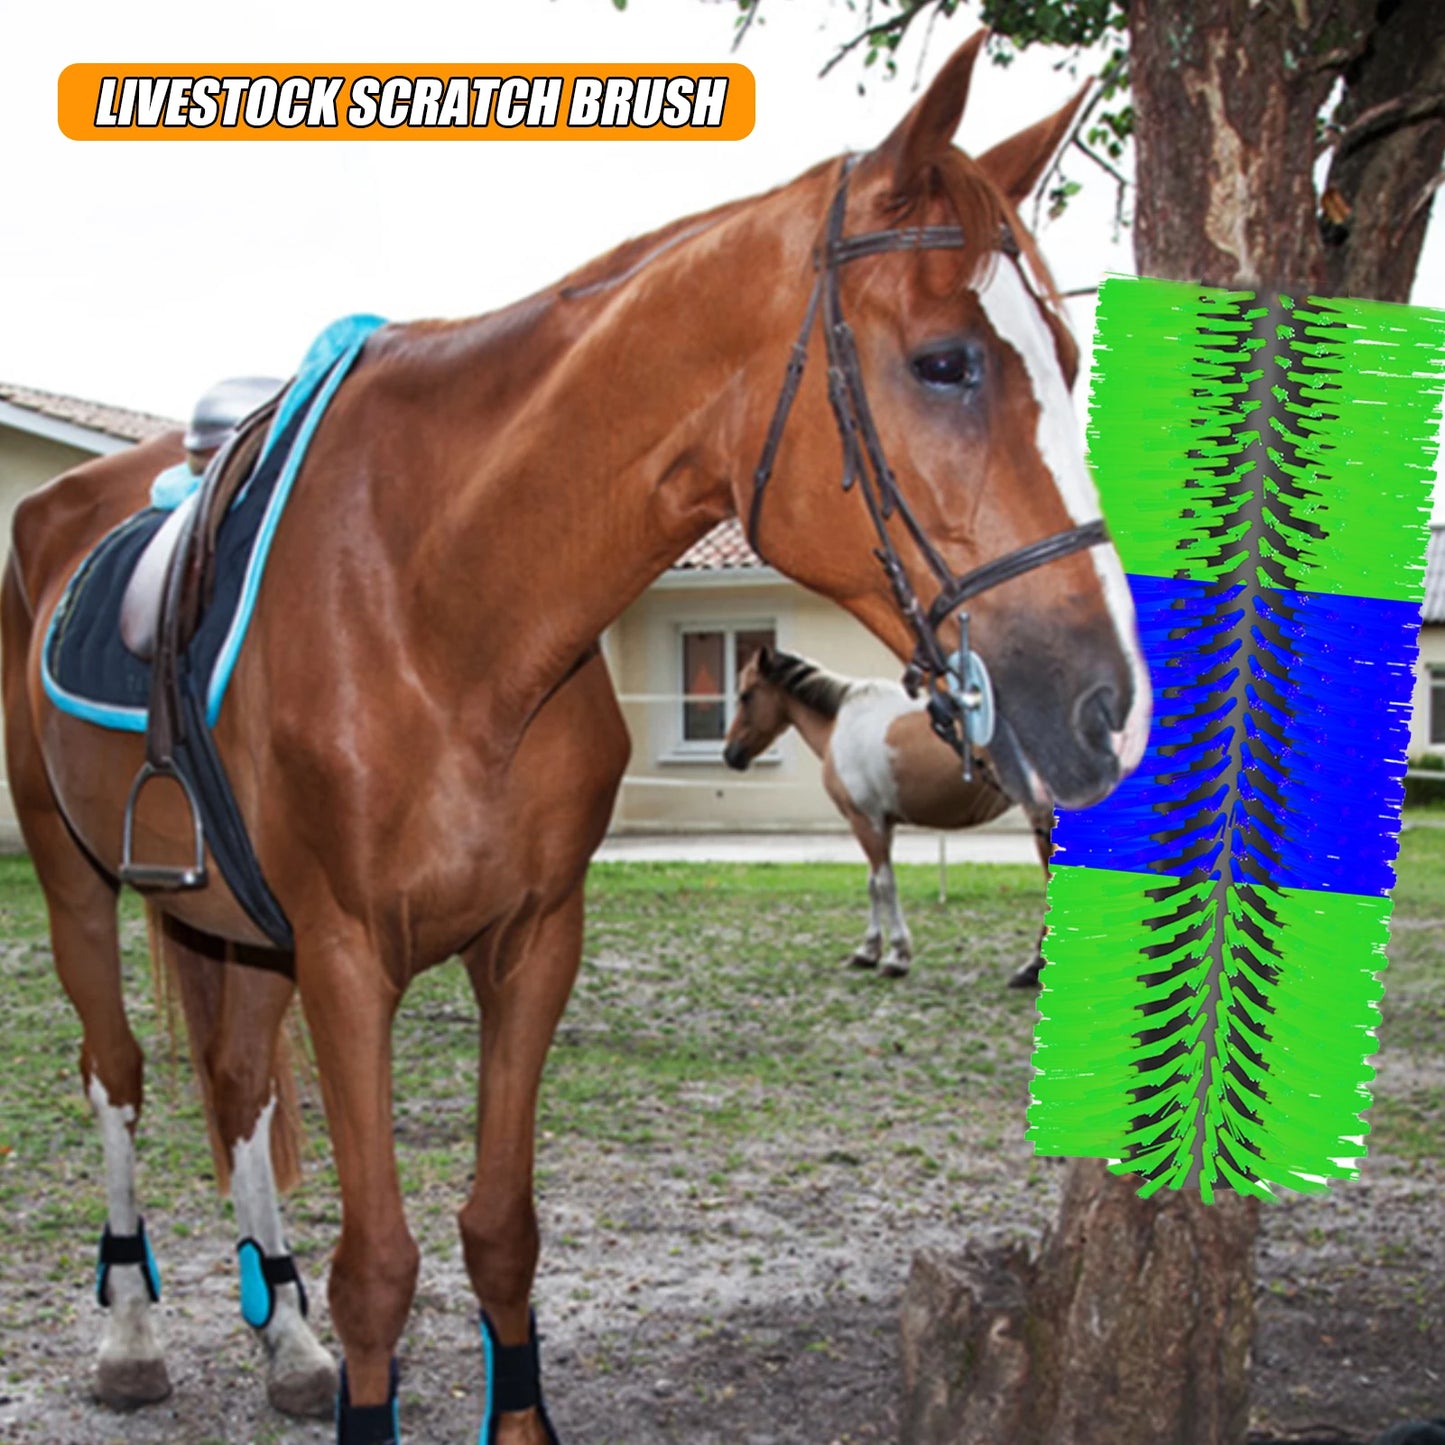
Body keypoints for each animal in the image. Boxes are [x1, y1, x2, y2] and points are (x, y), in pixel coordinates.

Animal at [724, 645, 1053, 982]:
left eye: (746, 695)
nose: (731, 753)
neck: (841, 723)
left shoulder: (864, 820)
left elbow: (885, 883)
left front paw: (897, 956)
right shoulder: (881, 823)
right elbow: (873, 883)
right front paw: (868, 951)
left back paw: (1033, 965)